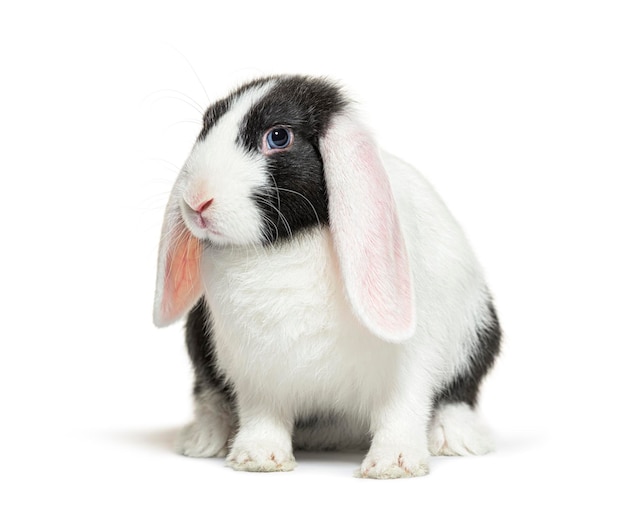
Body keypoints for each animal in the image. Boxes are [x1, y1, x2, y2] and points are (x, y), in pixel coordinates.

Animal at [154, 74, 500, 478]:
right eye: (207, 125)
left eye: (278, 137)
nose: (196, 201)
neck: (287, 244)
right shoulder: (256, 369)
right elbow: (262, 413)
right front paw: (258, 458)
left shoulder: (409, 364)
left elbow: (402, 408)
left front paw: (393, 464)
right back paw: (204, 438)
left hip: (479, 333)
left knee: (458, 395)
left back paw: (454, 439)